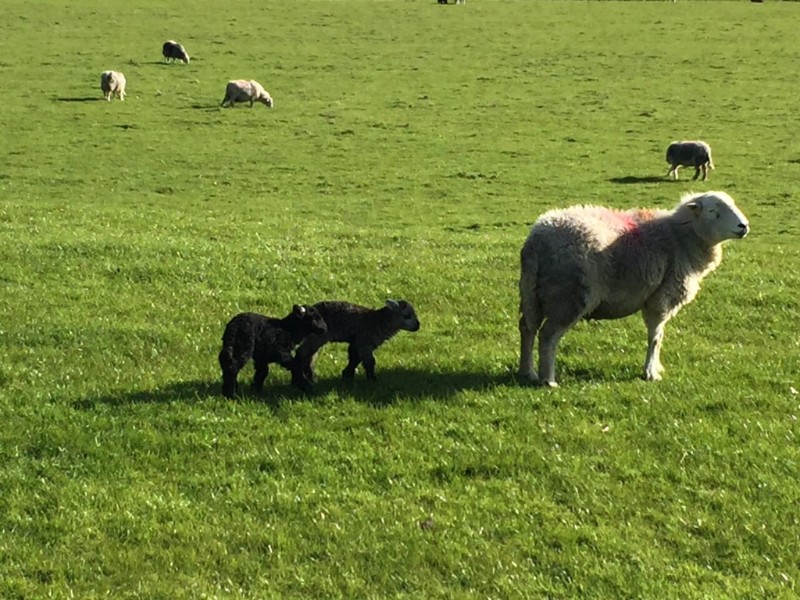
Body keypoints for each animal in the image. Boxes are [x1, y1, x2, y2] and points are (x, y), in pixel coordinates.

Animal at [520, 195, 752, 386]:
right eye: (713, 211)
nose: (744, 226)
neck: (680, 237)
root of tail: (537, 240)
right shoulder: (660, 299)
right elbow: (656, 337)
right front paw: (650, 373)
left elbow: (659, 336)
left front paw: (656, 368)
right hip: (569, 295)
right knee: (548, 335)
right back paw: (548, 380)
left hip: (533, 293)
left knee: (527, 328)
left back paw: (528, 372)